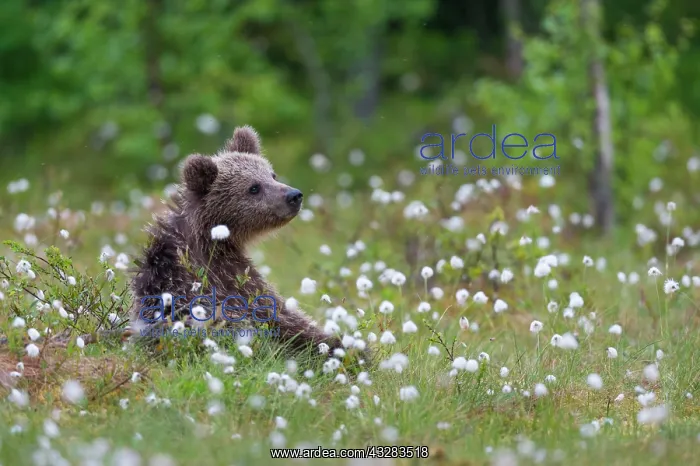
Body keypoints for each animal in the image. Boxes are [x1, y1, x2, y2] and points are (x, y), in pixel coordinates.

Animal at [127, 125, 343, 356]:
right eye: (254, 187)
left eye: (272, 174)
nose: (294, 195)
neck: (212, 240)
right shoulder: (230, 278)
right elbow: (284, 318)